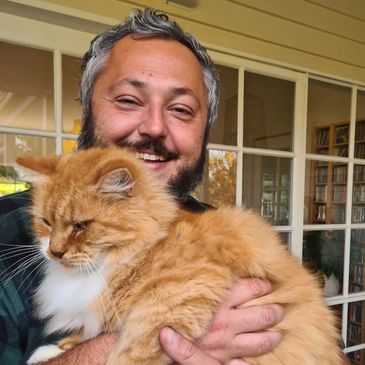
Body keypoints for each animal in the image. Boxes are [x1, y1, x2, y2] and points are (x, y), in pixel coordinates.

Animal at [16, 146, 342, 362]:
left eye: (82, 225)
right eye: (46, 222)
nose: (55, 251)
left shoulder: (178, 293)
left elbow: (128, 352)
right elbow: (84, 334)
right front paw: (50, 351)